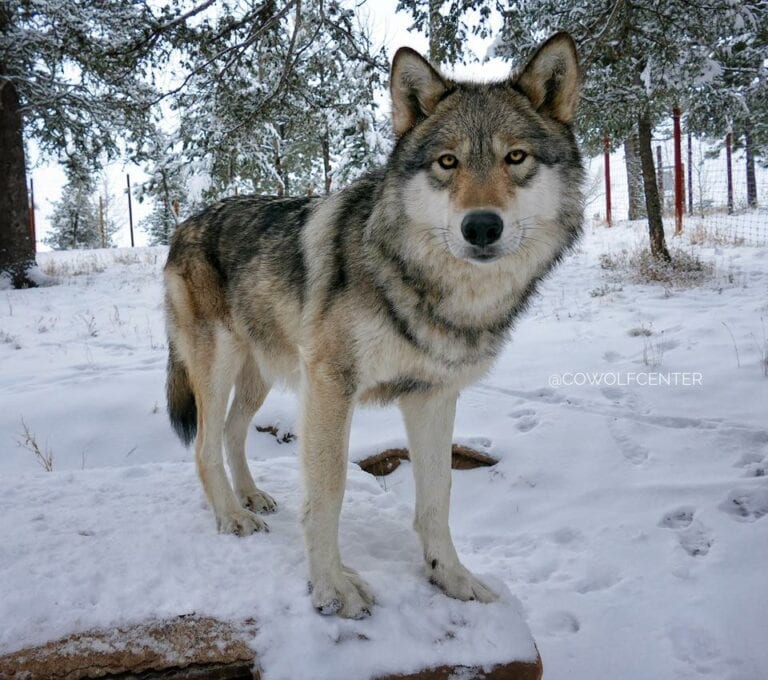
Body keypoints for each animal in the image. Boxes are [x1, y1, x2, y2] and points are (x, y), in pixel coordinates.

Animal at [164, 33, 583, 619]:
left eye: (515, 157)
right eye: (447, 162)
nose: (480, 226)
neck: (429, 288)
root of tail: (185, 223)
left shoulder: (433, 396)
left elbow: (437, 498)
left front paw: (451, 577)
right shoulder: (330, 387)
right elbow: (328, 493)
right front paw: (330, 588)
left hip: (262, 376)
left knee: (230, 432)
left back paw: (251, 497)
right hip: (220, 365)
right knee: (204, 446)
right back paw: (232, 517)